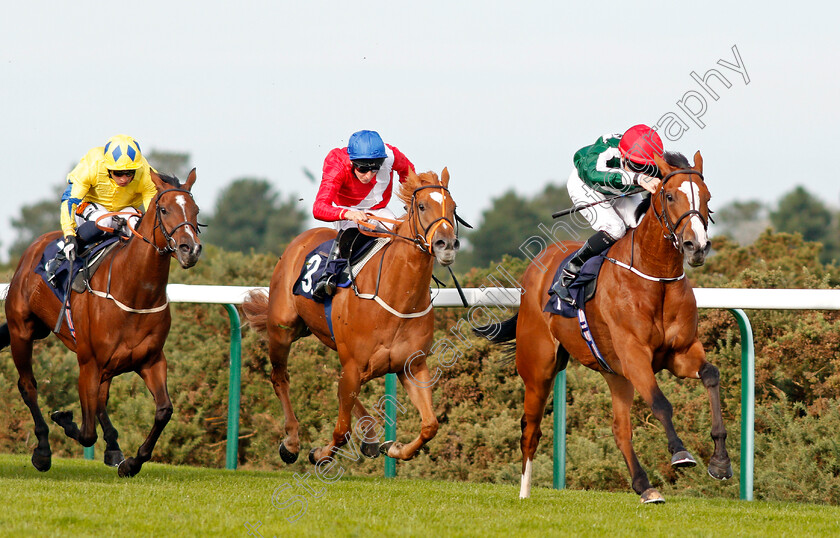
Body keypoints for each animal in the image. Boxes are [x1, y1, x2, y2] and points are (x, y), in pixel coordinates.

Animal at [0, 170, 202, 476]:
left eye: (196, 210)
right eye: (164, 210)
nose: (190, 249)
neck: (134, 293)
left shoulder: (151, 360)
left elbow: (163, 411)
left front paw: (132, 462)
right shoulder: (89, 362)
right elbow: (86, 431)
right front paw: (63, 418)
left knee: (100, 401)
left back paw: (114, 449)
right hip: (21, 331)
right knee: (28, 386)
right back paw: (43, 451)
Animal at [240, 169, 462, 464]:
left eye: (453, 208)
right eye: (423, 206)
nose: (446, 245)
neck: (399, 299)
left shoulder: (412, 366)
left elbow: (430, 425)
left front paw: (396, 448)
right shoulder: (355, 364)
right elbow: (342, 429)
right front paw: (320, 453)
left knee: (339, 382)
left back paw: (369, 436)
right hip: (283, 329)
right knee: (280, 378)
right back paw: (292, 442)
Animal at [476, 151, 732, 502]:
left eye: (707, 197)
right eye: (669, 196)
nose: (697, 246)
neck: (656, 277)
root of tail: (536, 266)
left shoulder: (680, 352)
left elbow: (711, 375)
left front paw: (720, 462)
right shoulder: (635, 354)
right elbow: (661, 403)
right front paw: (680, 453)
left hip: (615, 374)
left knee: (620, 429)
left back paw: (645, 486)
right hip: (539, 368)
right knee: (530, 429)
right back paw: (524, 493)